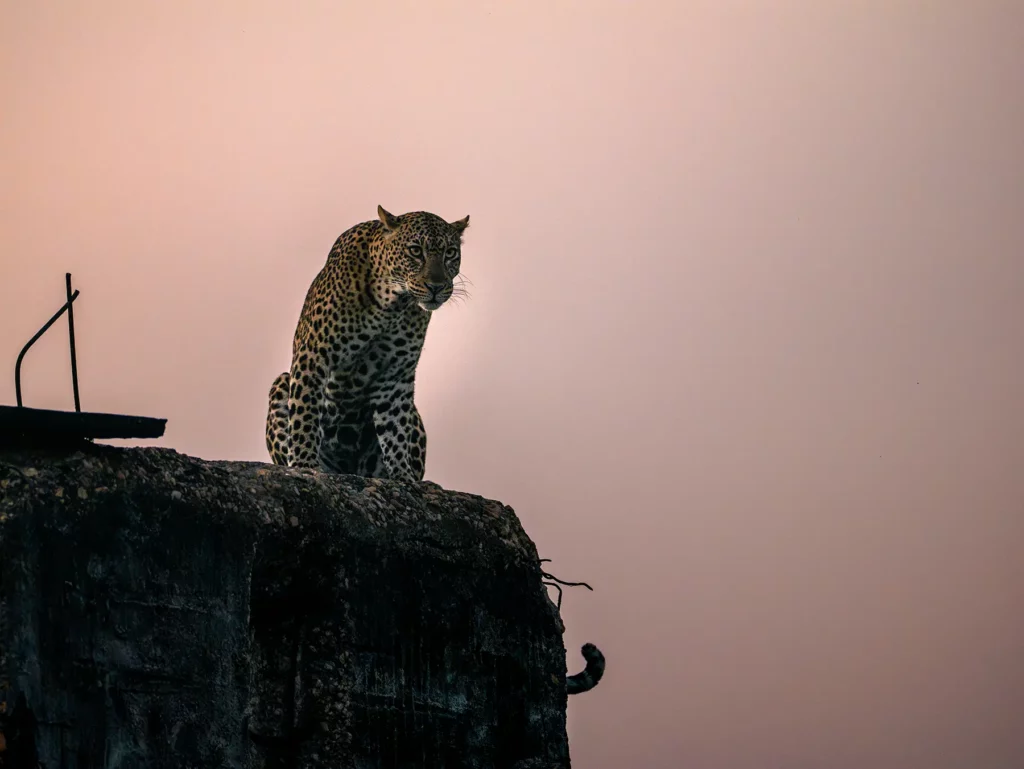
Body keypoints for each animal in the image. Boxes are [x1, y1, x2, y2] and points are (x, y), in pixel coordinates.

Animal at [266, 205, 469, 481]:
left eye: (450, 253)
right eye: (416, 250)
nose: (436, 287)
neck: (391, 304)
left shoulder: (395, 374)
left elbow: (396, 431)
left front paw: (402, 477)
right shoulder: (314, 355)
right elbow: (305, 412)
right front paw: (304, 463)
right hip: (281, 382)